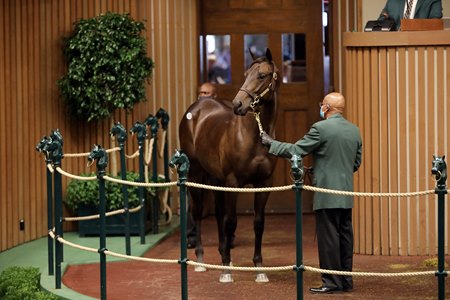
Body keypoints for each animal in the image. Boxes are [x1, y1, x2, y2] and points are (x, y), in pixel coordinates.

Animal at [178, 48, 278, 282]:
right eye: (246, 74)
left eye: (262, 76)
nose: (238, 105)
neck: (253, 135)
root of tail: (197, 106)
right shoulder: (234, 183)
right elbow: (231, 220)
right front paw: (225, 272)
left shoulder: (264, 183)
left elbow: (258, 223)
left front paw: (259, 268)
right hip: (195, 175)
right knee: (197, 213)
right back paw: (201, 260)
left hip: (215, 178)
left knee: (218, 214)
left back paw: (225, 254)